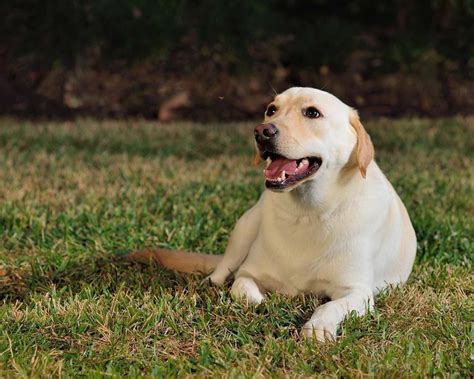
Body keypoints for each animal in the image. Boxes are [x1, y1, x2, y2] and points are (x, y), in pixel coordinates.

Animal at [130, 87, 414, 342]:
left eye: (312, 113)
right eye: (271, 110)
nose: (262, 131)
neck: (308, 212)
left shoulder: (357, 292)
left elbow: (329, 306)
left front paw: (318, 328)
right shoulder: (249, 273)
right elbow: (241, 288)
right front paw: (262, 301)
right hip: (244, 227)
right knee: (222, 270)